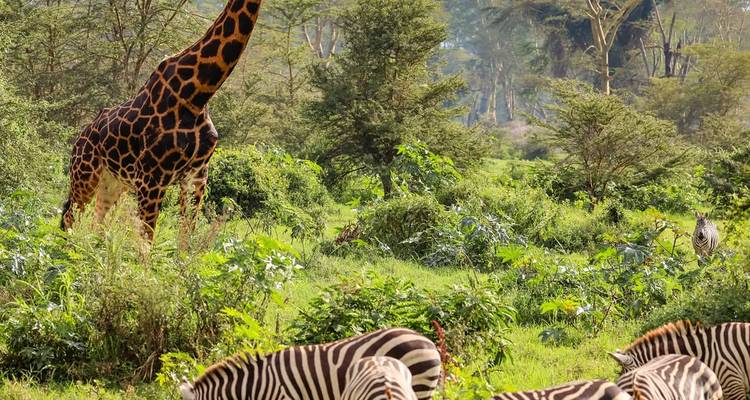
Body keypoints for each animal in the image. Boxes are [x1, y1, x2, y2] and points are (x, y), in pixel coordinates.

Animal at [60, 0, 264, 246]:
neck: (198, 94)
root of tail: (78, 140)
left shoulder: (197, 176)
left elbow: (185, 239)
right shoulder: (151, 178)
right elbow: (146, 242)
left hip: (112, 183)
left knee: (96, 222)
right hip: (85, 174)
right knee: (69, 217)